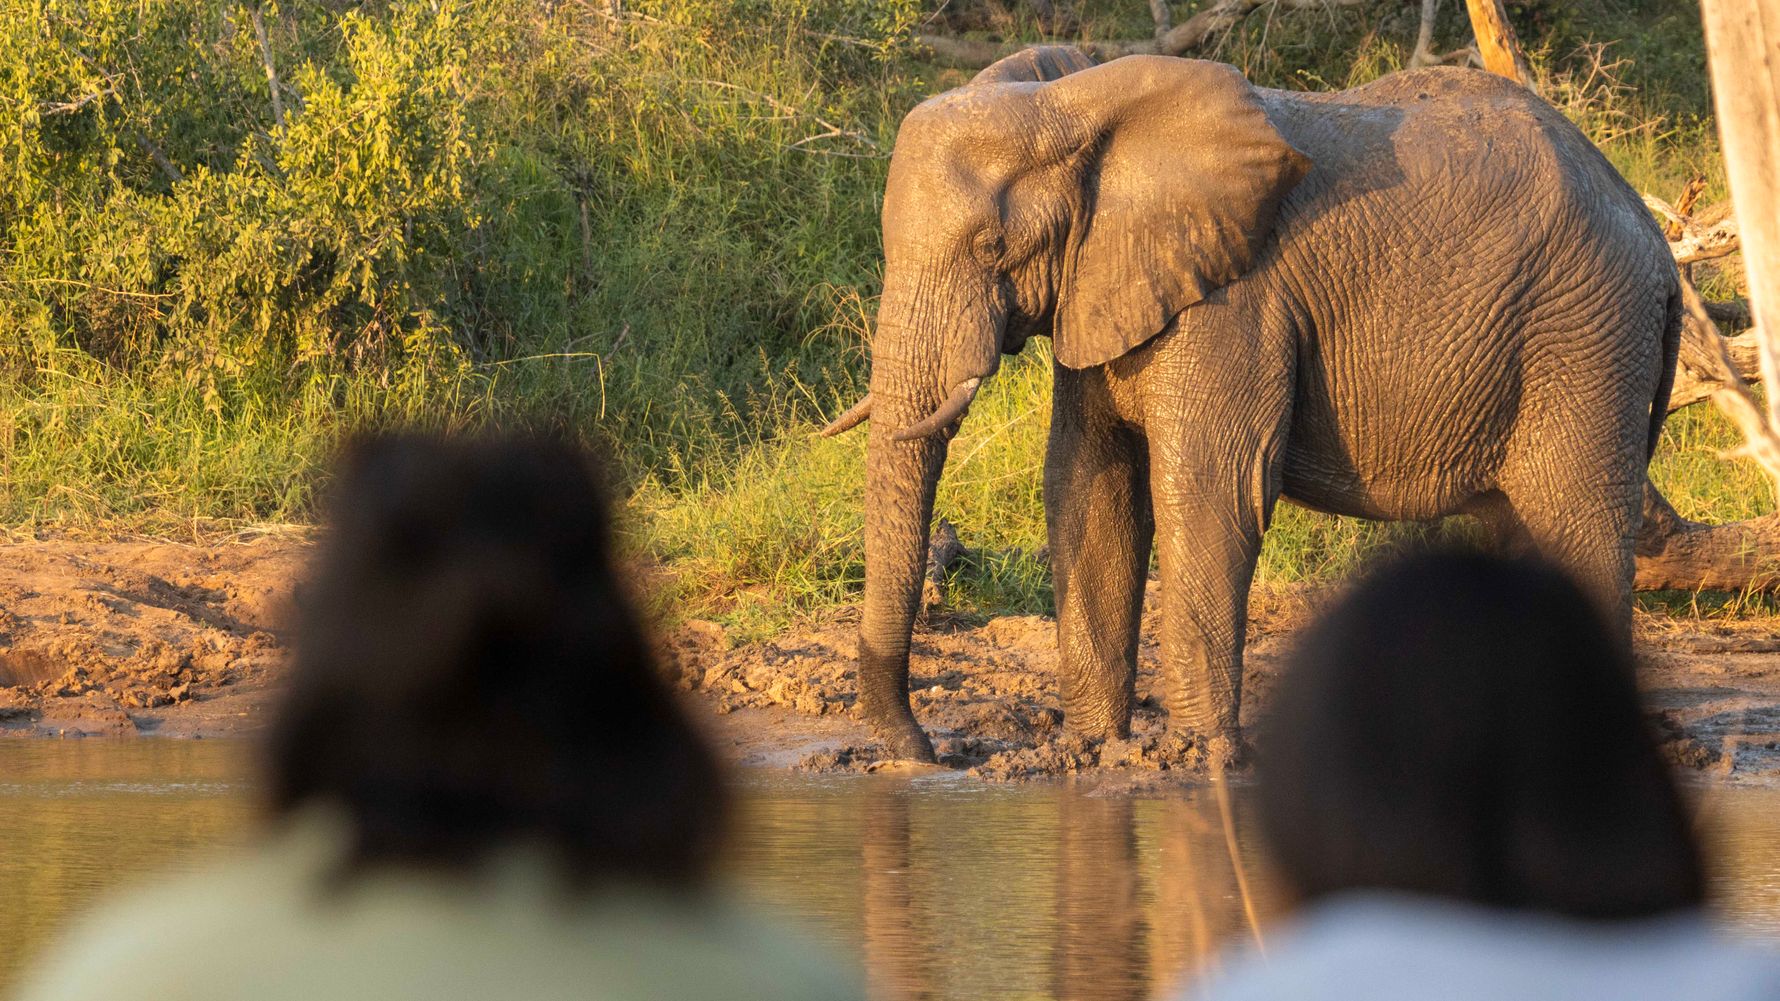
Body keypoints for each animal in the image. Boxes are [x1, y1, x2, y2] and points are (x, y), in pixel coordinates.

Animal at [820, 46, 1681, 763]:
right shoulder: (1102, 283)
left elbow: (1210, 487)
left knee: (1577, 523)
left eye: (991, 248)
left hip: (1586, 339)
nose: (927, 753)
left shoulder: (1235, 298)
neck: (1075, 101)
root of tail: (1656, 237)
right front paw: (1089, 751)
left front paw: (1195, 758)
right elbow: (1089, 485)